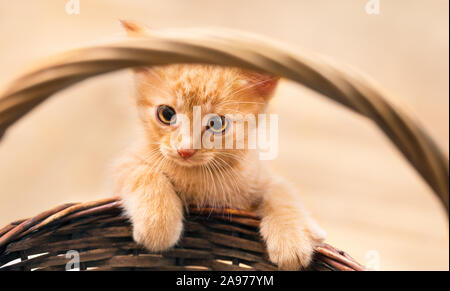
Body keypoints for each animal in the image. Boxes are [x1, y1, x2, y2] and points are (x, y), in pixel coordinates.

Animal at [112, 21, 324, 272]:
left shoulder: (261, 175)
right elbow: (142, 172)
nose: (185, 150)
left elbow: (282, 191)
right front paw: (158, 225)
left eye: (216, 123)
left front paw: (292, 240)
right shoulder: (122, 168)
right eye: (166, 114)